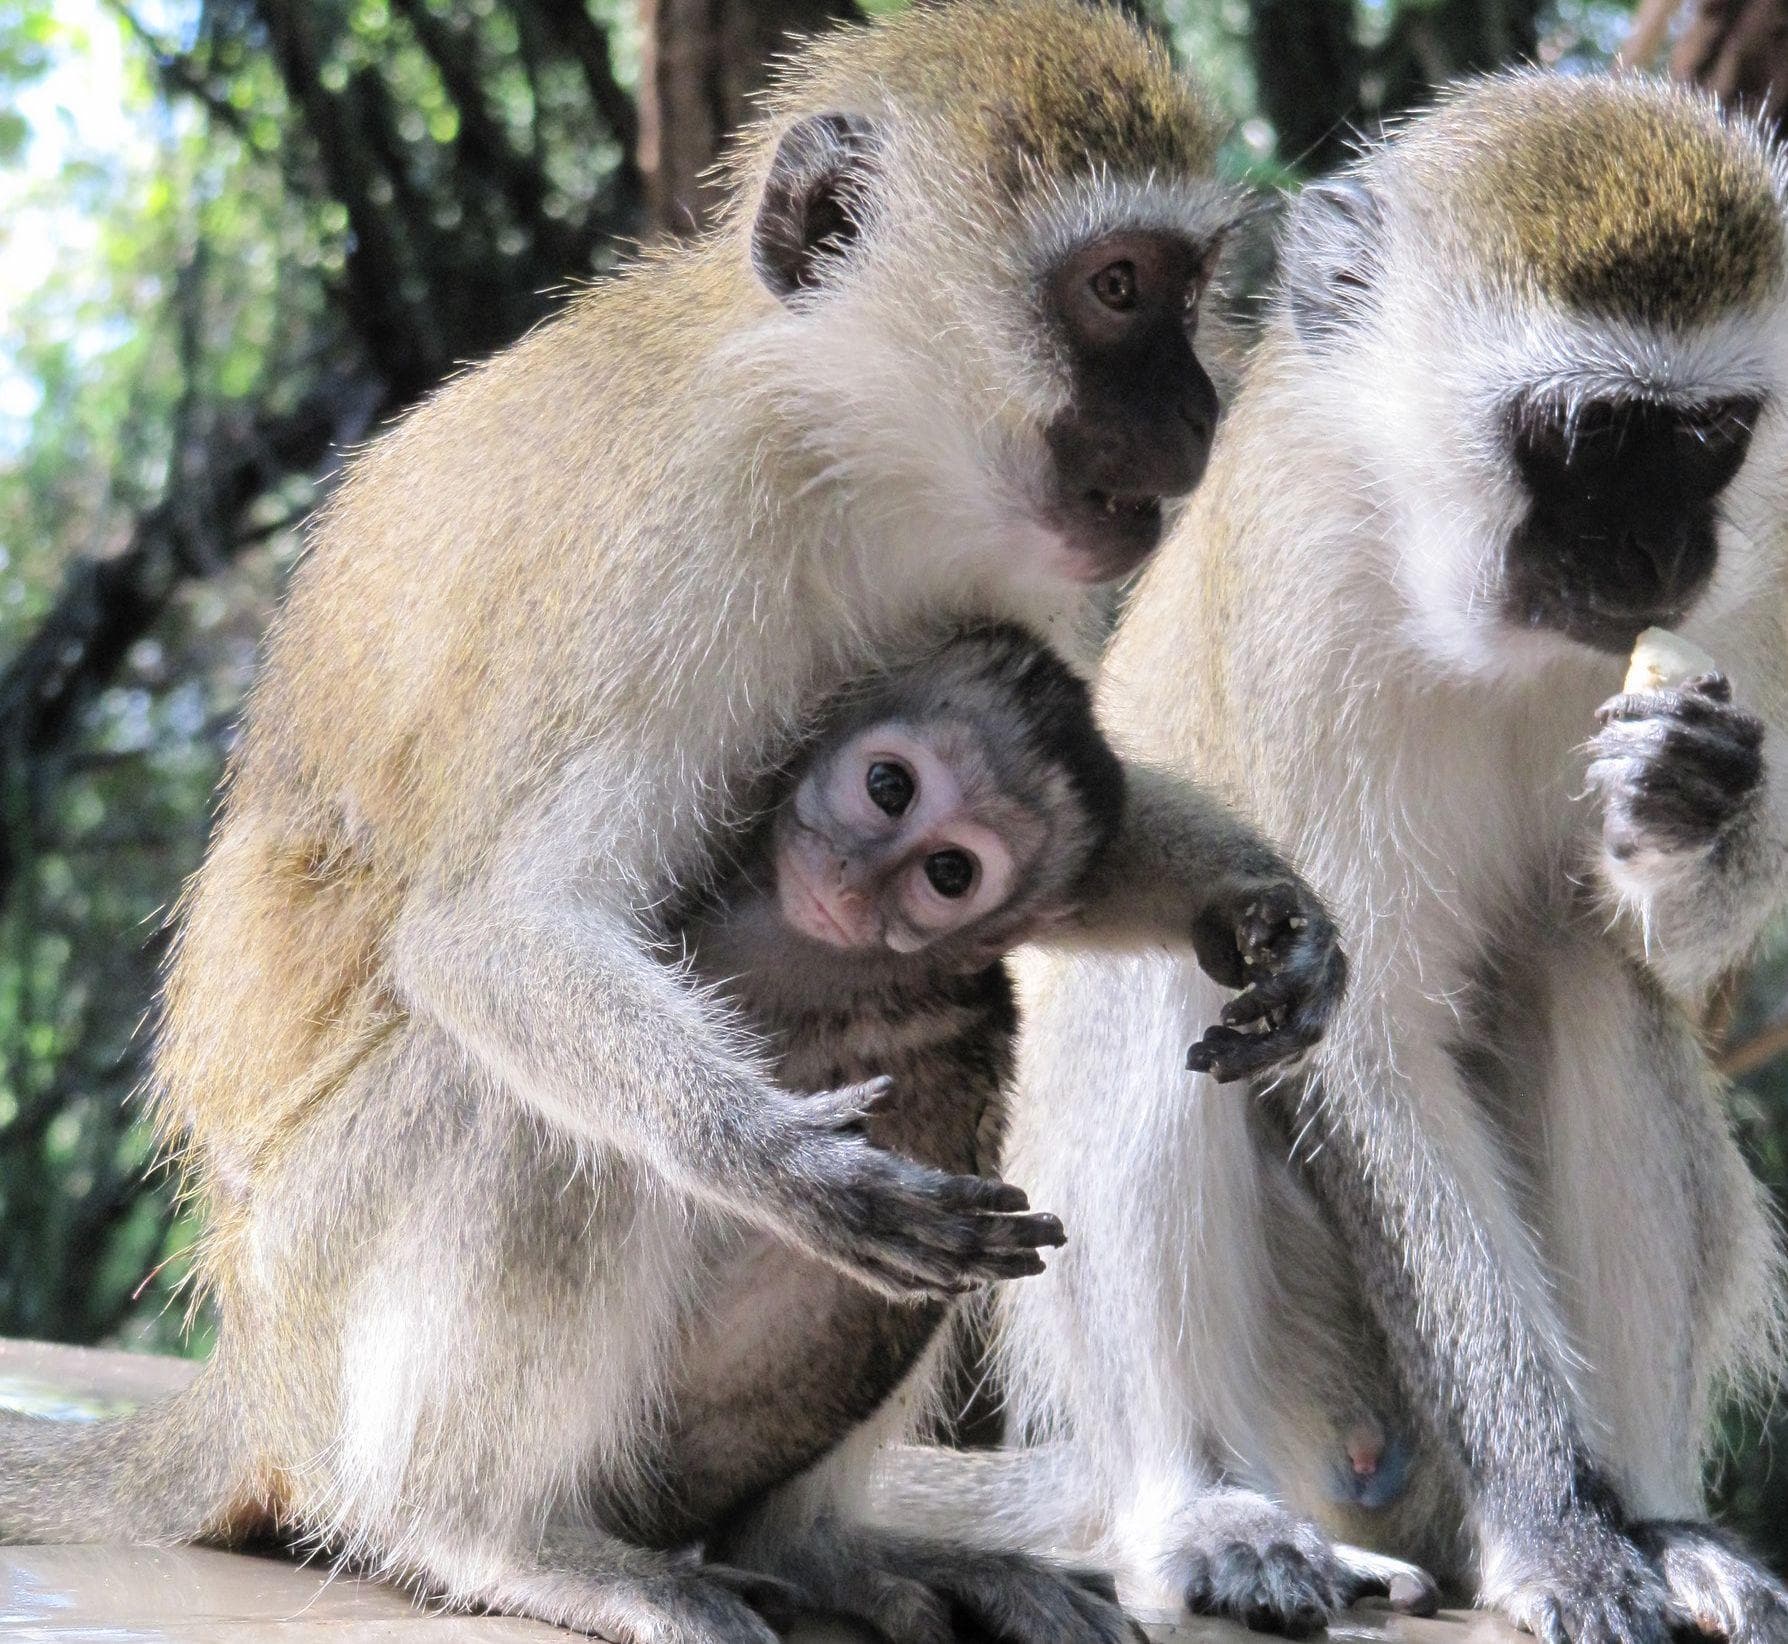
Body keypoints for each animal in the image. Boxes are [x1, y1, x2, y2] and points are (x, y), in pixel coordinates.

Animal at [0, 6, 1353, 1642]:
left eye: (1186, 290)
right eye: (1117, 290)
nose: (1202, 410)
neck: (831, 444)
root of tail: (247, 1377)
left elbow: (1068, 853)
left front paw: (1254, 901)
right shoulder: (675, 536)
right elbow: (496, 931)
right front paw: (778, 1162)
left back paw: (825, 1548)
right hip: (327, 1303)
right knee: (518, 1109)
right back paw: (487, 1534)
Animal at [884, 68, 1788, 1644]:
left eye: (1707, 438)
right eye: (1587, 437)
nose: (1656, 557)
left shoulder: (1772, 564)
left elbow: (1669, 967)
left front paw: (1693, 799)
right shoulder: (1305, 575)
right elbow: (1351, 1013)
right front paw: (1557, 1532)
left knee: (1584, 967)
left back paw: (1661, 1519)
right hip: (1305, 1399)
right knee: (1176, 973)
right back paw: (1206, 1516)